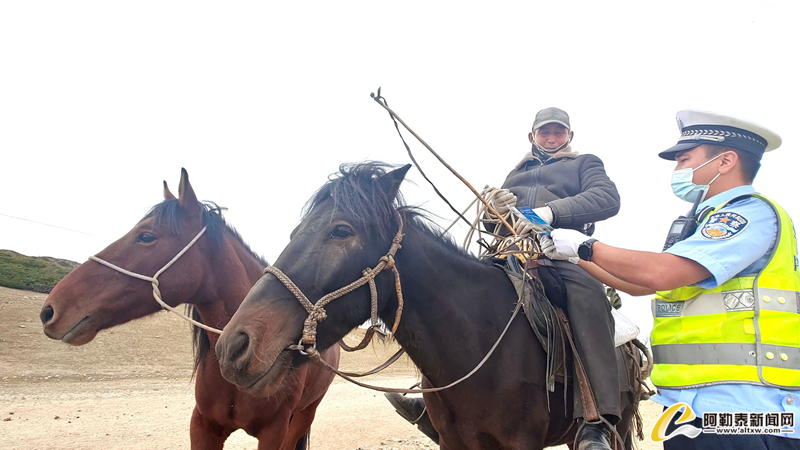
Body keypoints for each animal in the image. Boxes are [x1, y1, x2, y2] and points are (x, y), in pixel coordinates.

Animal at [215, 162, 644, 450]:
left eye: (341, 230)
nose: (234, 346)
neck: (481, 341)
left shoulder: (521, 442)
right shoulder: (455, 441)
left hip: (616, 428)